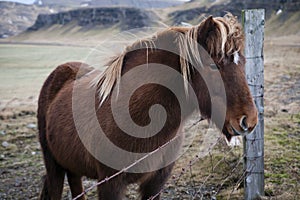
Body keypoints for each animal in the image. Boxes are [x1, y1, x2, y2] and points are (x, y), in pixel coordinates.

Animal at [37, 13, 258, 199]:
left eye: (243, 62)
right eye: (213, 65)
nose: (249, 120)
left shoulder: (156, 181)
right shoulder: (110, 183)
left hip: (71, 166)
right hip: (54, 166)